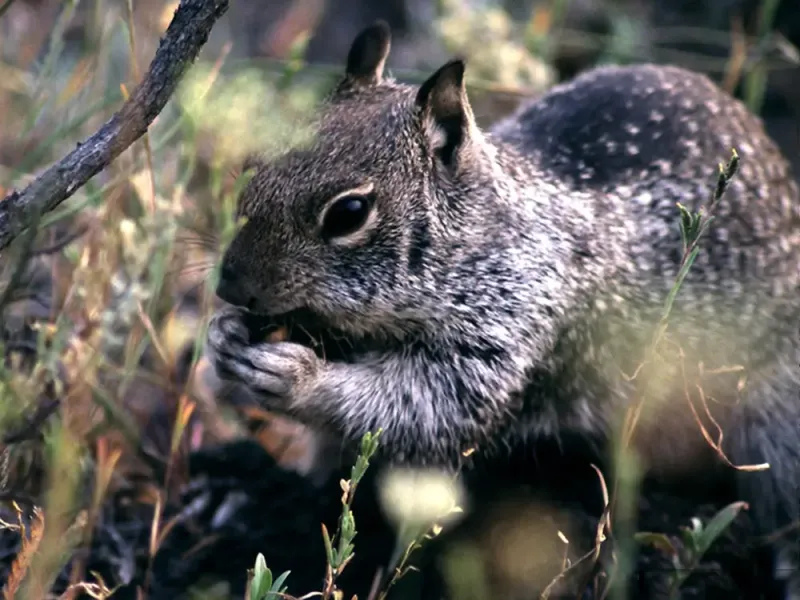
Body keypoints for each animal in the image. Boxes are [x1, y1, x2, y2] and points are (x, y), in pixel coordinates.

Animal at [205, 19, 800, 596]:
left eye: (349, 213)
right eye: (253, 166)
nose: (231, 286)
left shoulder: (508, 335)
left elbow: (429, 409)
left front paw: (296, 376)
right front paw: (221, 338)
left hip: (777, 416)